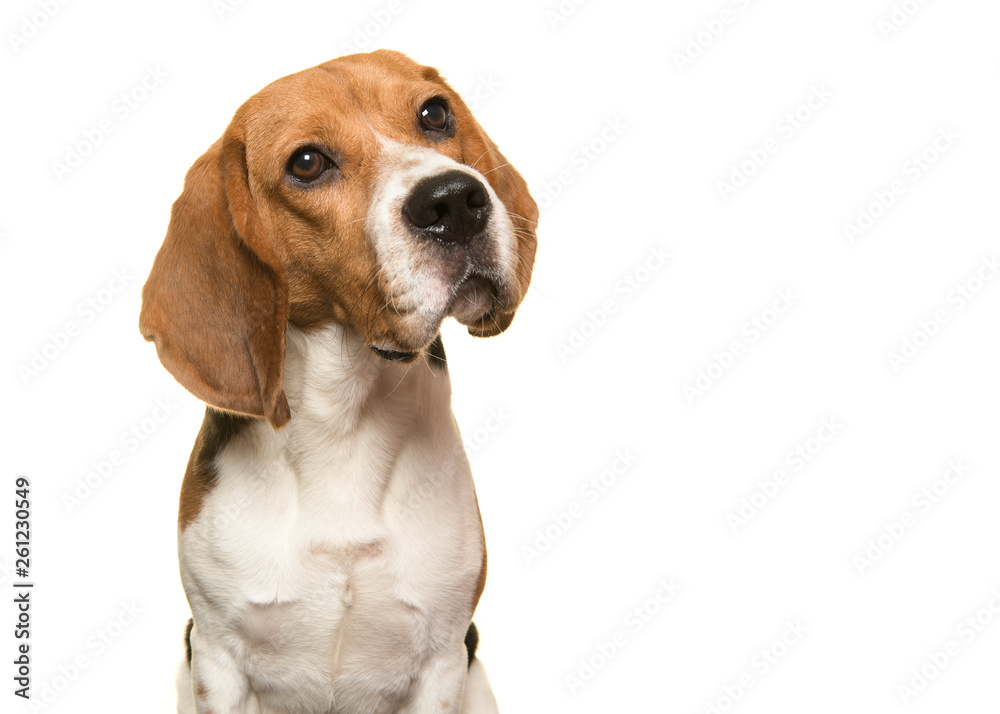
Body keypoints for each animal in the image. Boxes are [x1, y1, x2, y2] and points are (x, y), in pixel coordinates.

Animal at [141, 50, 540, 712]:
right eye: (306, 163)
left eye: (435, 114)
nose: (454, 200)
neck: (345, 421)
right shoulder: (217, 661)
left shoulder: (441, 659)